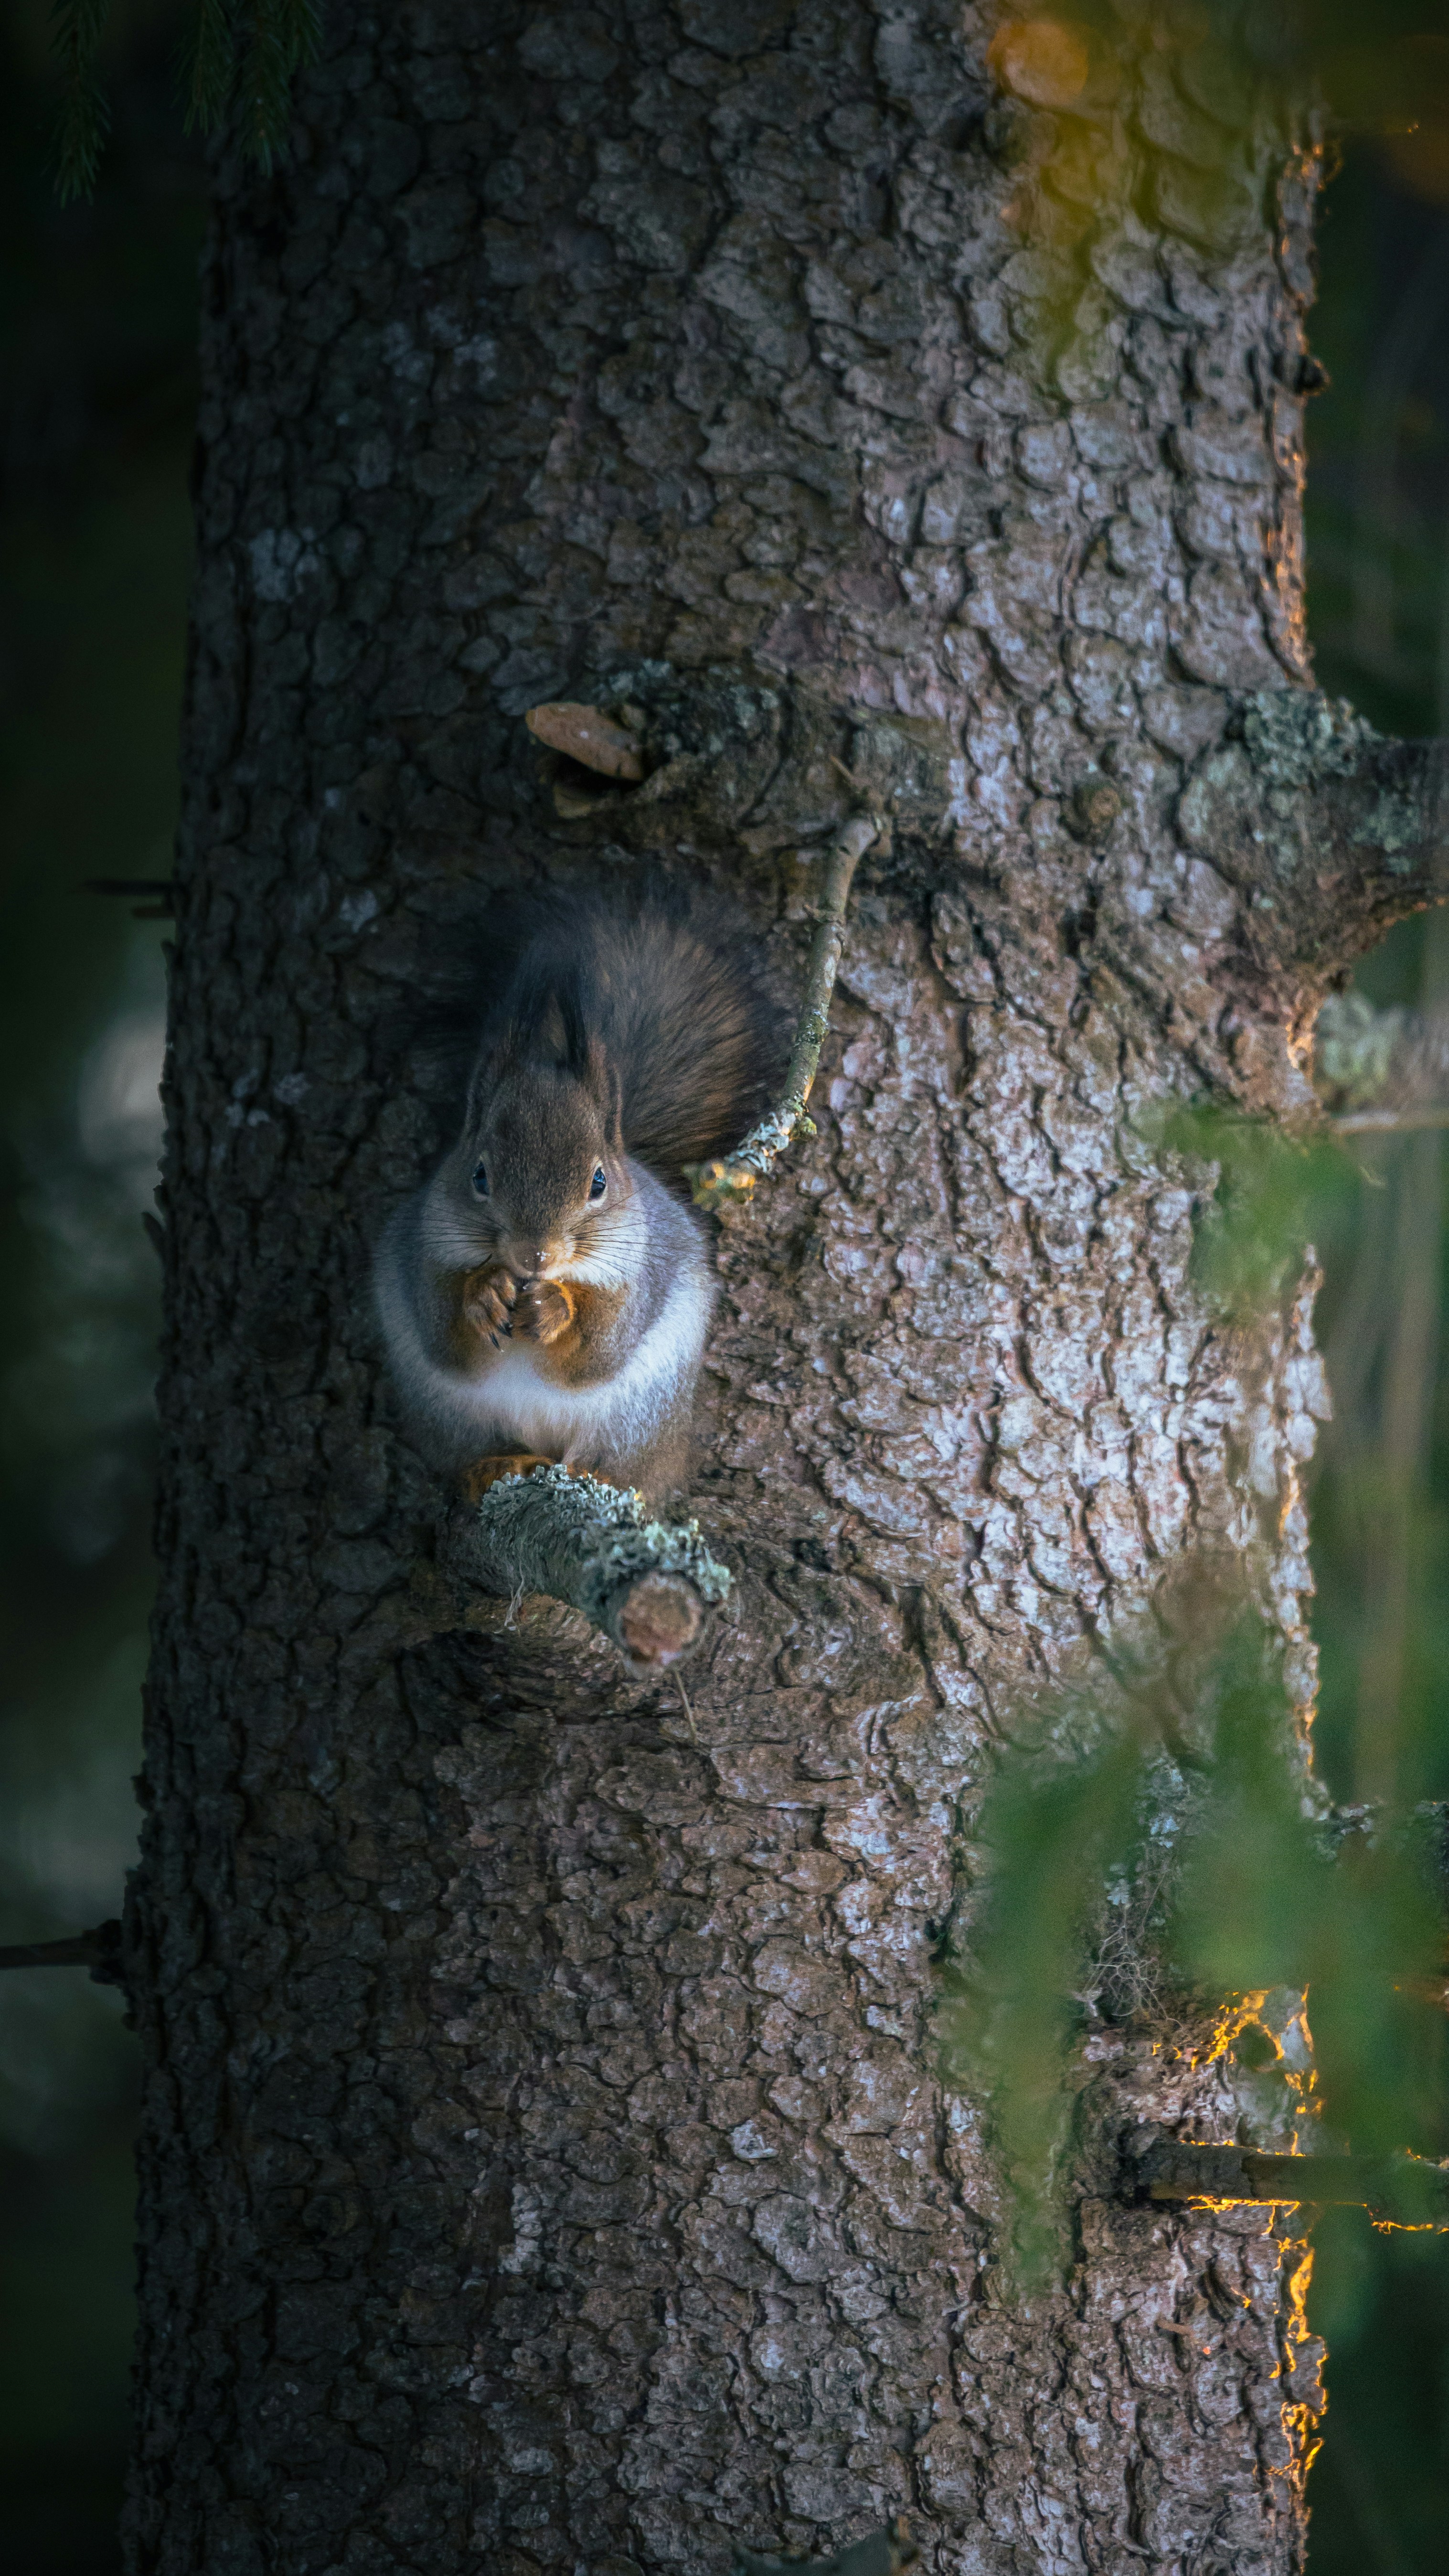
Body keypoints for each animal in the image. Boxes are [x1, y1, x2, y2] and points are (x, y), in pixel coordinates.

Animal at [374, 884, 781, 1503]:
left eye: (599, 1181)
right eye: (479, 1175)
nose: (534, 1256)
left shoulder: (640, 1278)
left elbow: (594, 1354)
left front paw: (554, 1307)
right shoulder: (423, 1254)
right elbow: (446, 1338)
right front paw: (485, 1291)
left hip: (639, 1419)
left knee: (624, 1462)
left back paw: (602, 1475)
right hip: (451, 1418)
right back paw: (495, 1464)